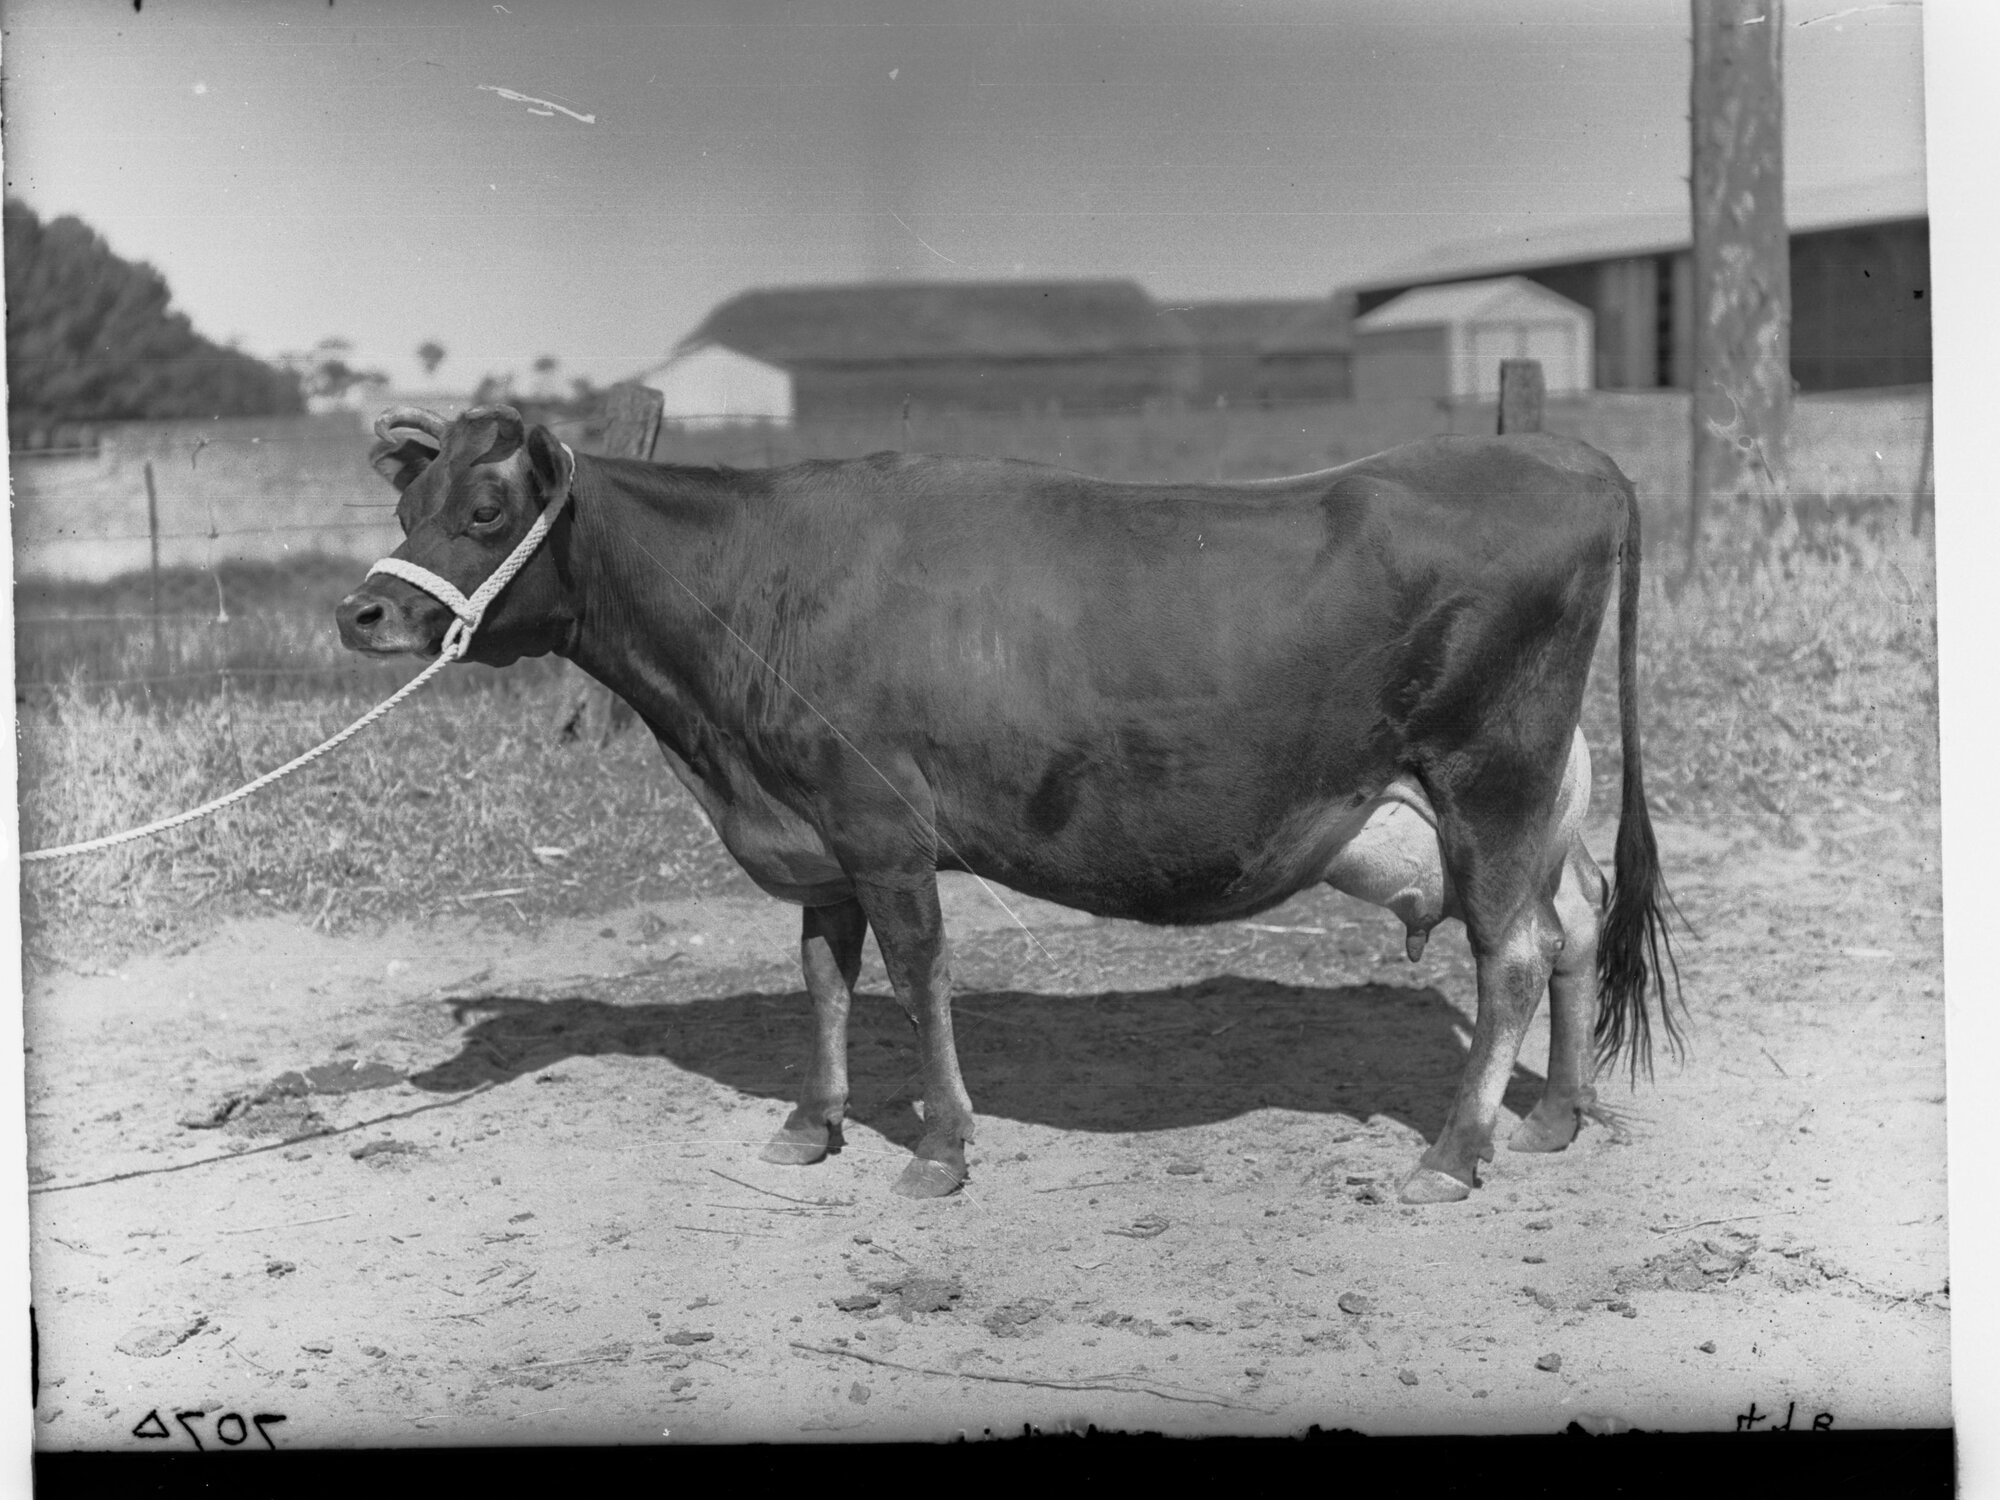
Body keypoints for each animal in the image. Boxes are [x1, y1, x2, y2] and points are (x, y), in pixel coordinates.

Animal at [336, 403, 1679, 1205]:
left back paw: (1455, 1154)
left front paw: (938, 1146)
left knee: (1511, 953)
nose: (363, 611)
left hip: (1488, 776)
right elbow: (823, 979)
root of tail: (1565, 455)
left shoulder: (881, 824)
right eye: (406, 506)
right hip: (1532, 791)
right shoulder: (817, 837)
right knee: (1570, 922)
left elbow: (917, 977)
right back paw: (1553, 1117)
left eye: (485, 511)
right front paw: (812, 1125)